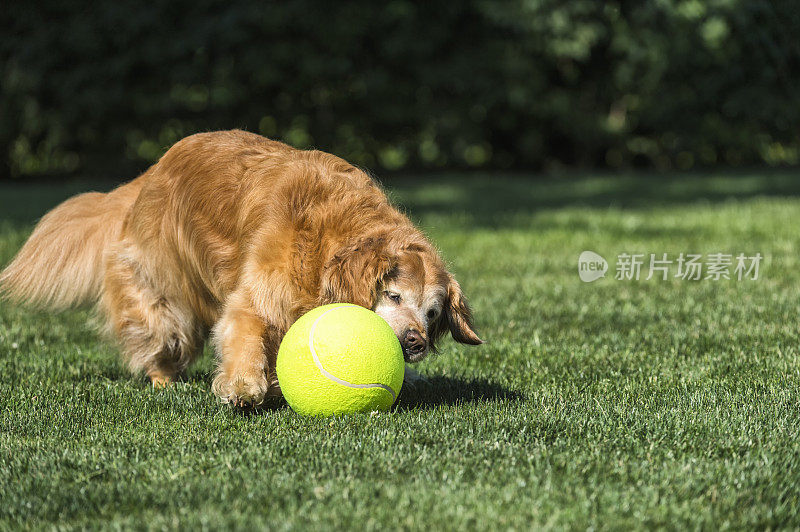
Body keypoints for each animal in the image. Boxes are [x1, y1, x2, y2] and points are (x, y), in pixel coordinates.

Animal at [0, 131, 482, 406]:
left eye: (433, 313)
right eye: (393, 295)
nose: (415, 342)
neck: (329, 243)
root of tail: (149, 174)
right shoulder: (257, 295)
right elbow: (246, 332)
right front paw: (244, 388)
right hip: (163, 291)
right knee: (161, 332)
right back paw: (164, 381)